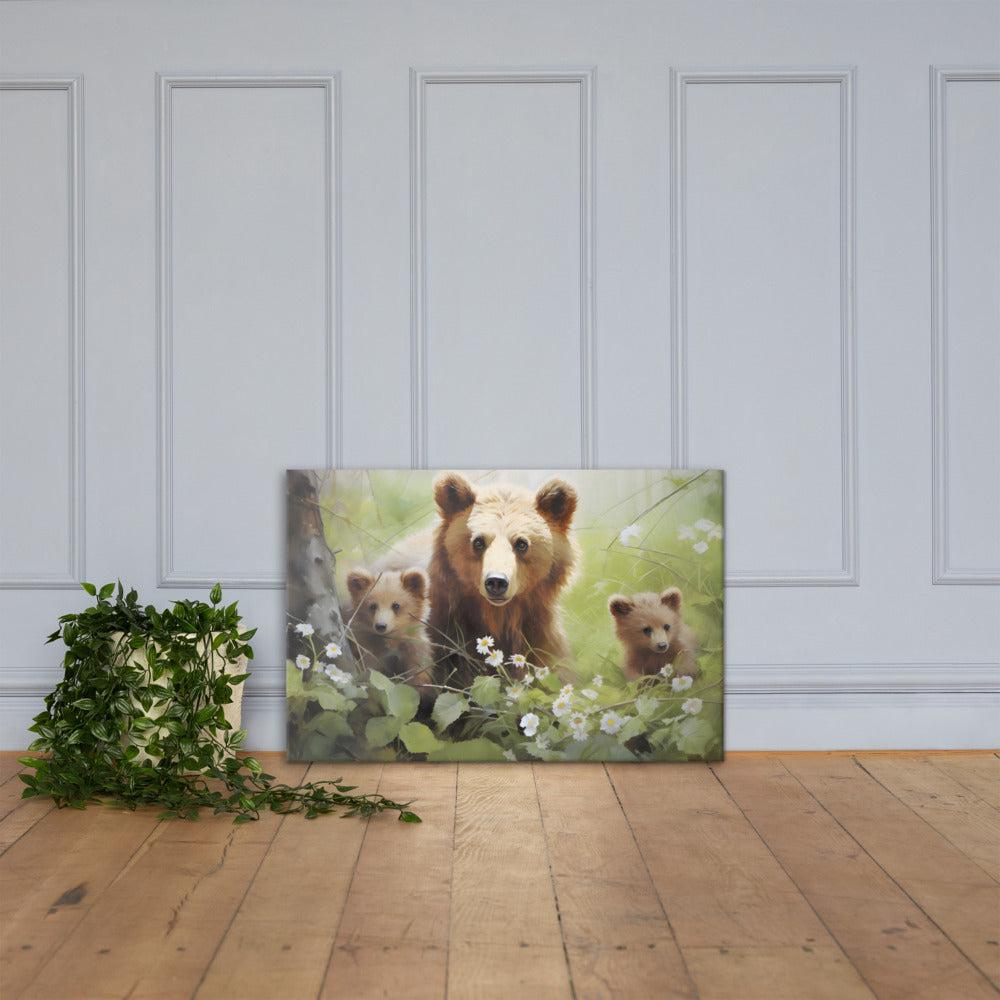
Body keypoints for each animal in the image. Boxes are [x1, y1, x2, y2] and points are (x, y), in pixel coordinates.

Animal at [428, 472, 579, 688]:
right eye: (478, 542)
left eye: (521, 543)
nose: (496, 581)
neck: (498, 617)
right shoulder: (447, 635)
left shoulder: (540, 638)